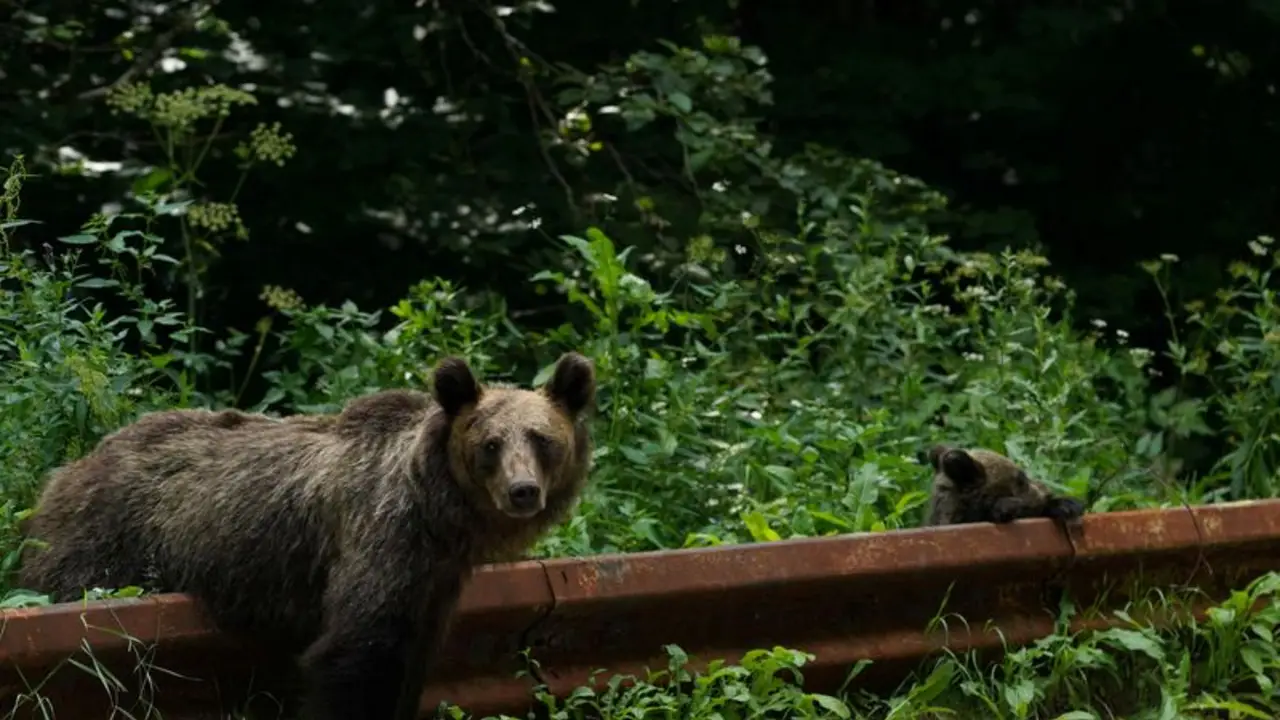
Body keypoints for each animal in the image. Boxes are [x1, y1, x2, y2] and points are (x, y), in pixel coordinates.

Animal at [17, 351, 597, 720]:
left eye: (542, 439)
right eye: (491, 444)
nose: (522, 491)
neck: (441, 515)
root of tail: (73, 465)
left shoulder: (436, 582)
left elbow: (413, 660)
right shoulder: (380, 539)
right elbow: (354, 655)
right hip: (106, 542)